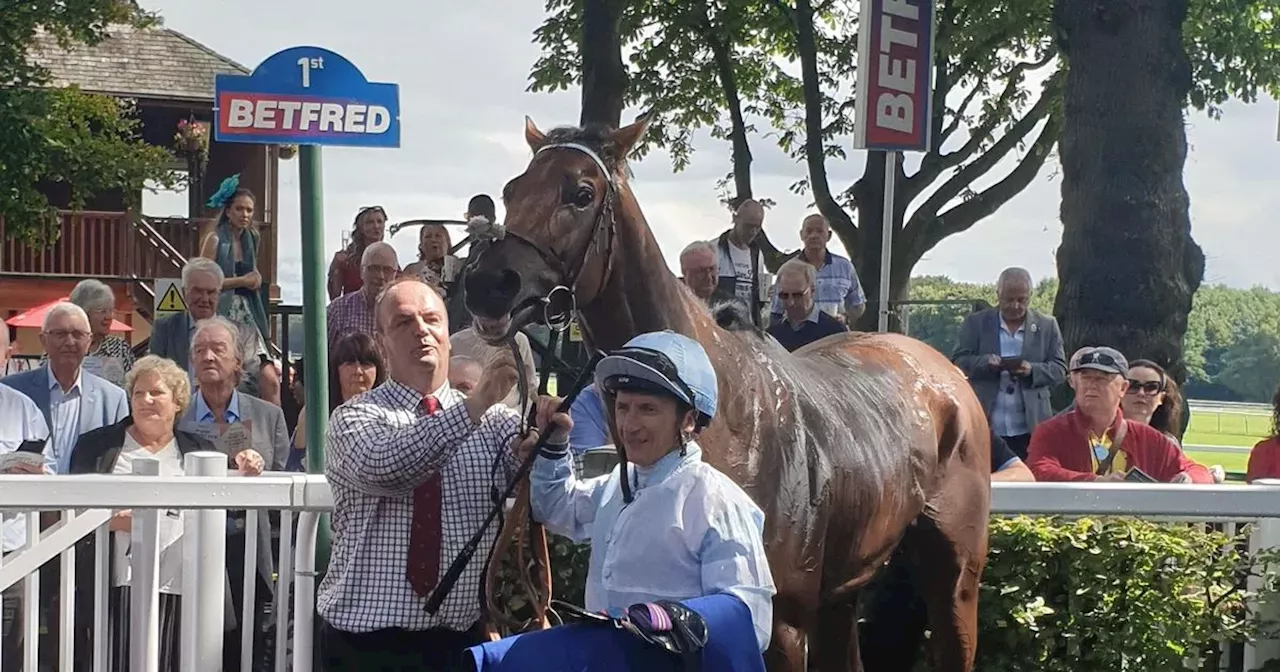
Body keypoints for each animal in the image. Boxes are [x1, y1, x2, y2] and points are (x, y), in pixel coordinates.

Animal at [460, 116, 988, 670]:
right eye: (512, 190)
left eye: (581, 193)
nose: (487, 284)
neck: (727, 424)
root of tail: (945, 372)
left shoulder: (779, 624)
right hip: (846, 588)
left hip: (955, 575)